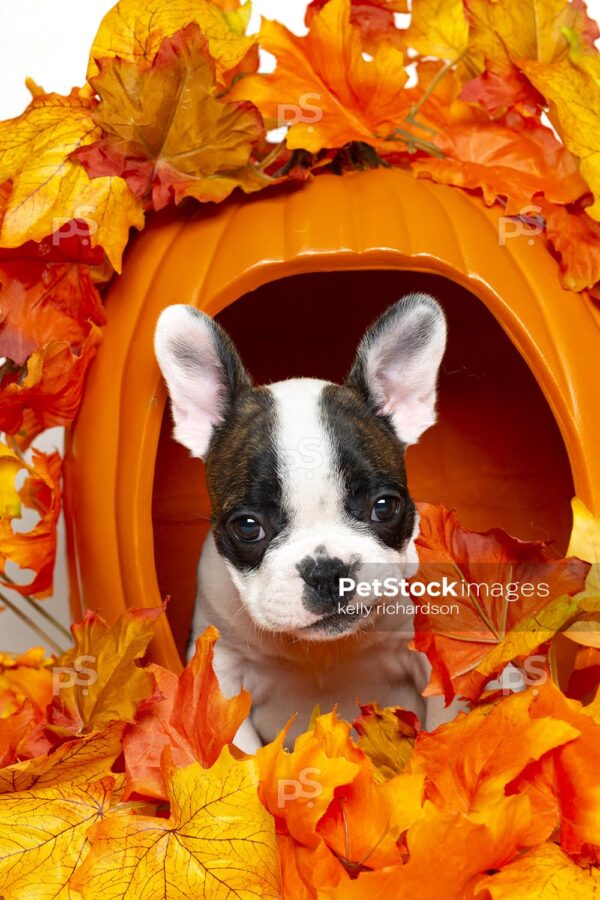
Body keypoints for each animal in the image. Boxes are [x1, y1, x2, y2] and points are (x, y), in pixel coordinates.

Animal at [155, 296, 450, 752]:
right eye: (247, 527)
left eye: (385, 507)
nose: (327, 571)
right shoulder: (222, 671)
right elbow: (240, 750)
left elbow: (448, 723)